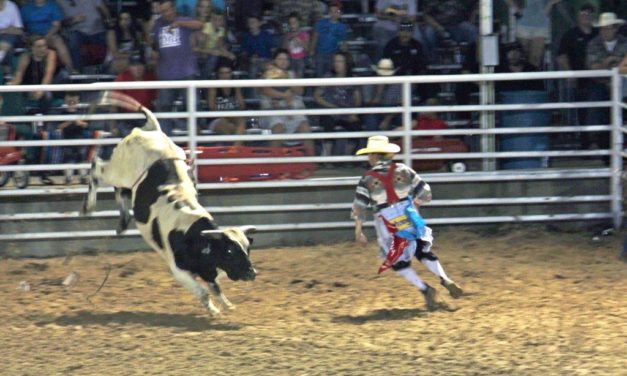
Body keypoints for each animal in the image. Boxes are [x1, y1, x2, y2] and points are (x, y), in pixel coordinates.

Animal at [83, 92, 255, 316]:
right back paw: (88, 205)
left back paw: (123, 222)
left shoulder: (208, 270)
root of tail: (152, 130)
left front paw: (226, 305)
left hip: (129, 182)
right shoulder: (179, 270)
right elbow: (203, 291)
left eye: (247, 248)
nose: (252, 273)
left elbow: (214, 287)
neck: (192, 234)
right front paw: (214, 310)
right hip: (118, 170)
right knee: (97, 167)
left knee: (120, 191)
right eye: (229, 251)